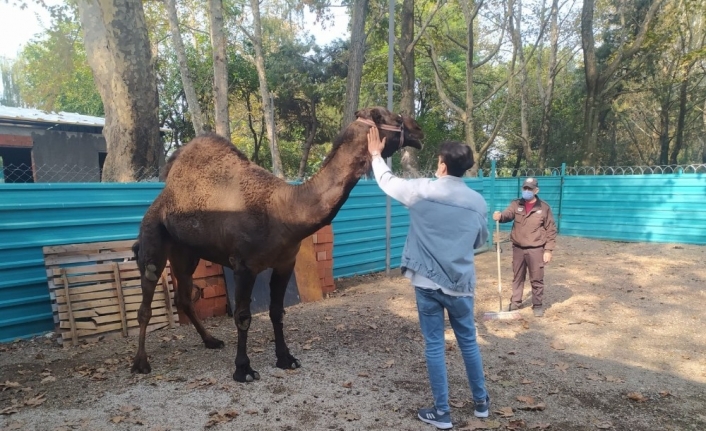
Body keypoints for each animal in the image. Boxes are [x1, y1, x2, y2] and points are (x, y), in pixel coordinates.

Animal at [129, 107, 420, 382]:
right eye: (389, 117)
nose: (418, 129)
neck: (284, 209)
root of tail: (162, 196)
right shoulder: (243, 266)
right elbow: (243, 316)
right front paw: (243, 369)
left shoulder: (284, 262)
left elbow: (277, 312)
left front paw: (285, 358)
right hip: (153, 237)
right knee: (145, 302)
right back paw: (140, 363)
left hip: (186, 252)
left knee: (184, 296)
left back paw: (211, 341)